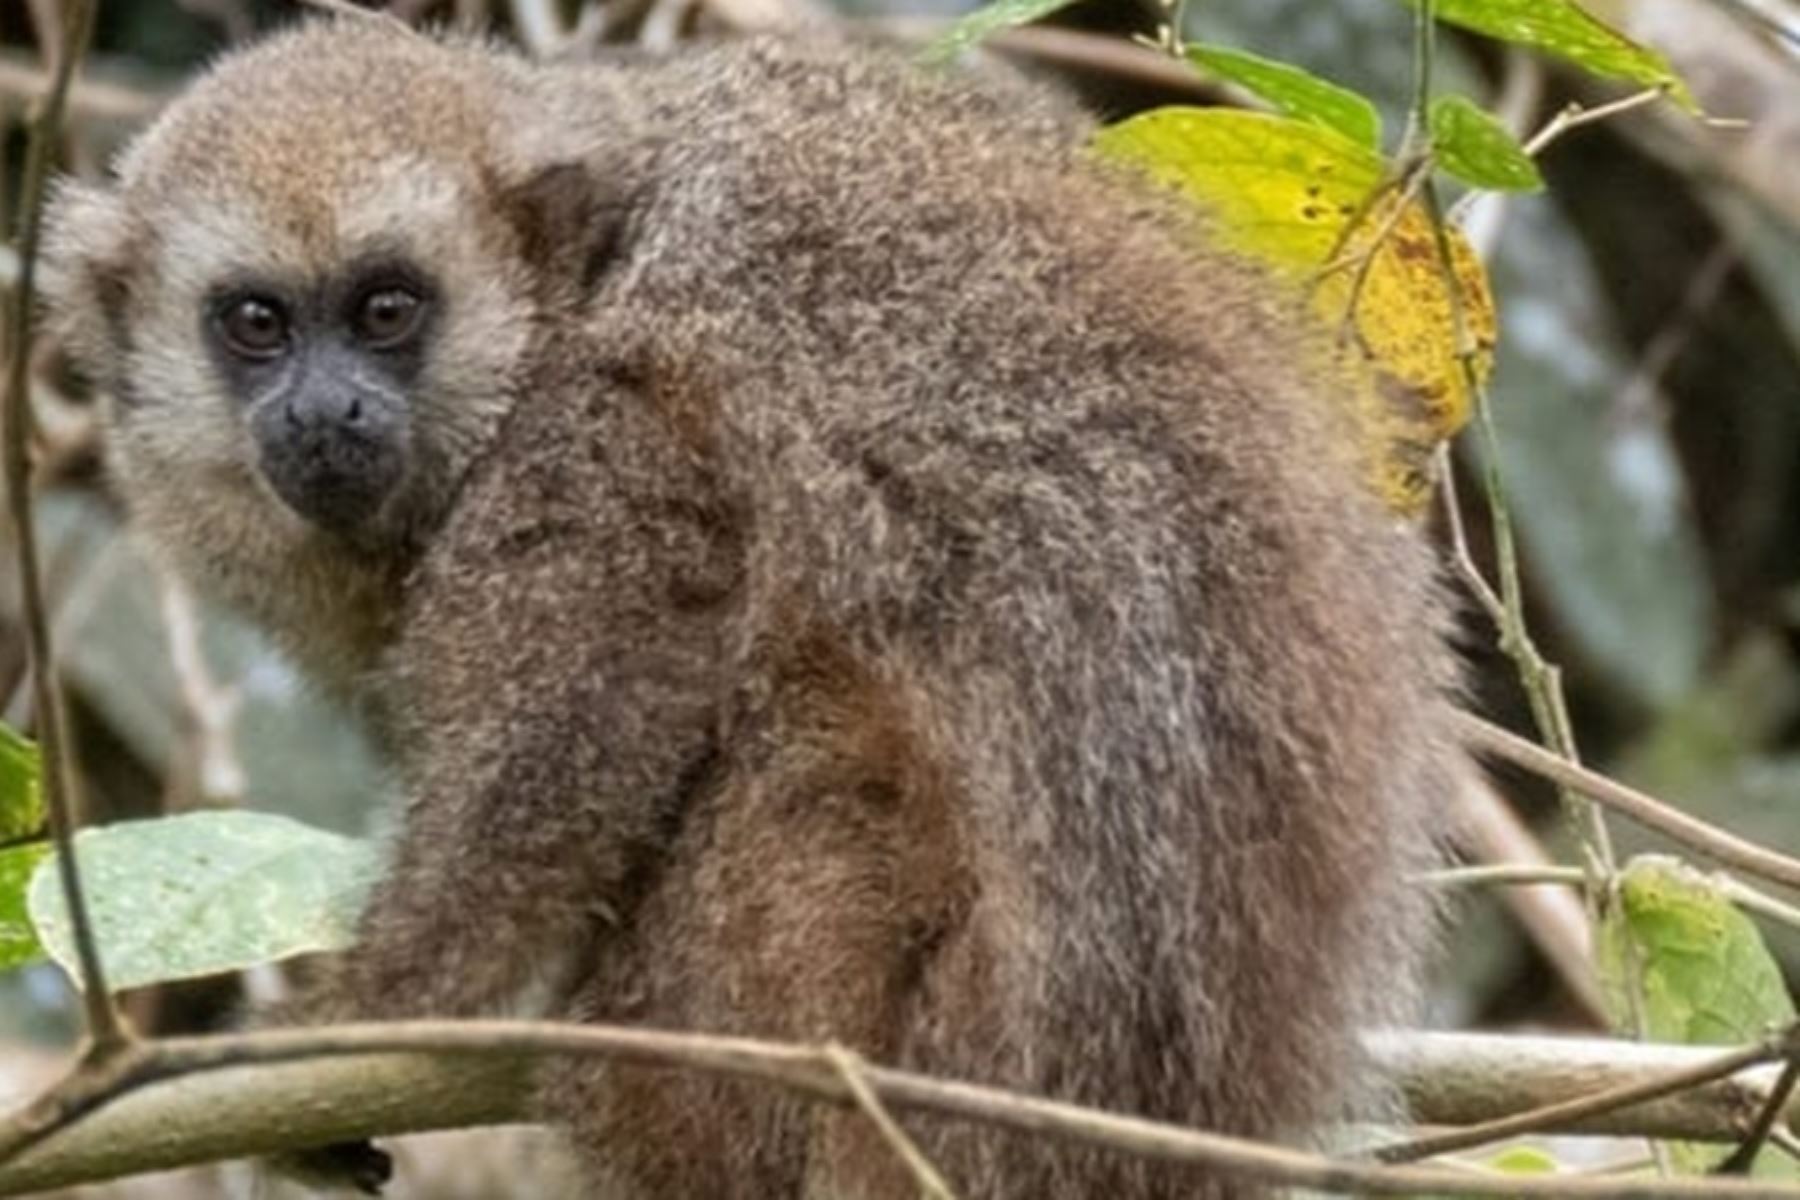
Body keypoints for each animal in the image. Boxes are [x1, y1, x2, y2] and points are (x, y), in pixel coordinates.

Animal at [42, 21, 1468, 1200]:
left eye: (388, 309)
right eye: (257, 325)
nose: (323, 410)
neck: (587, 273)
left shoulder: (601, 437)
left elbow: (574, 737)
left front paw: (366, 1014)